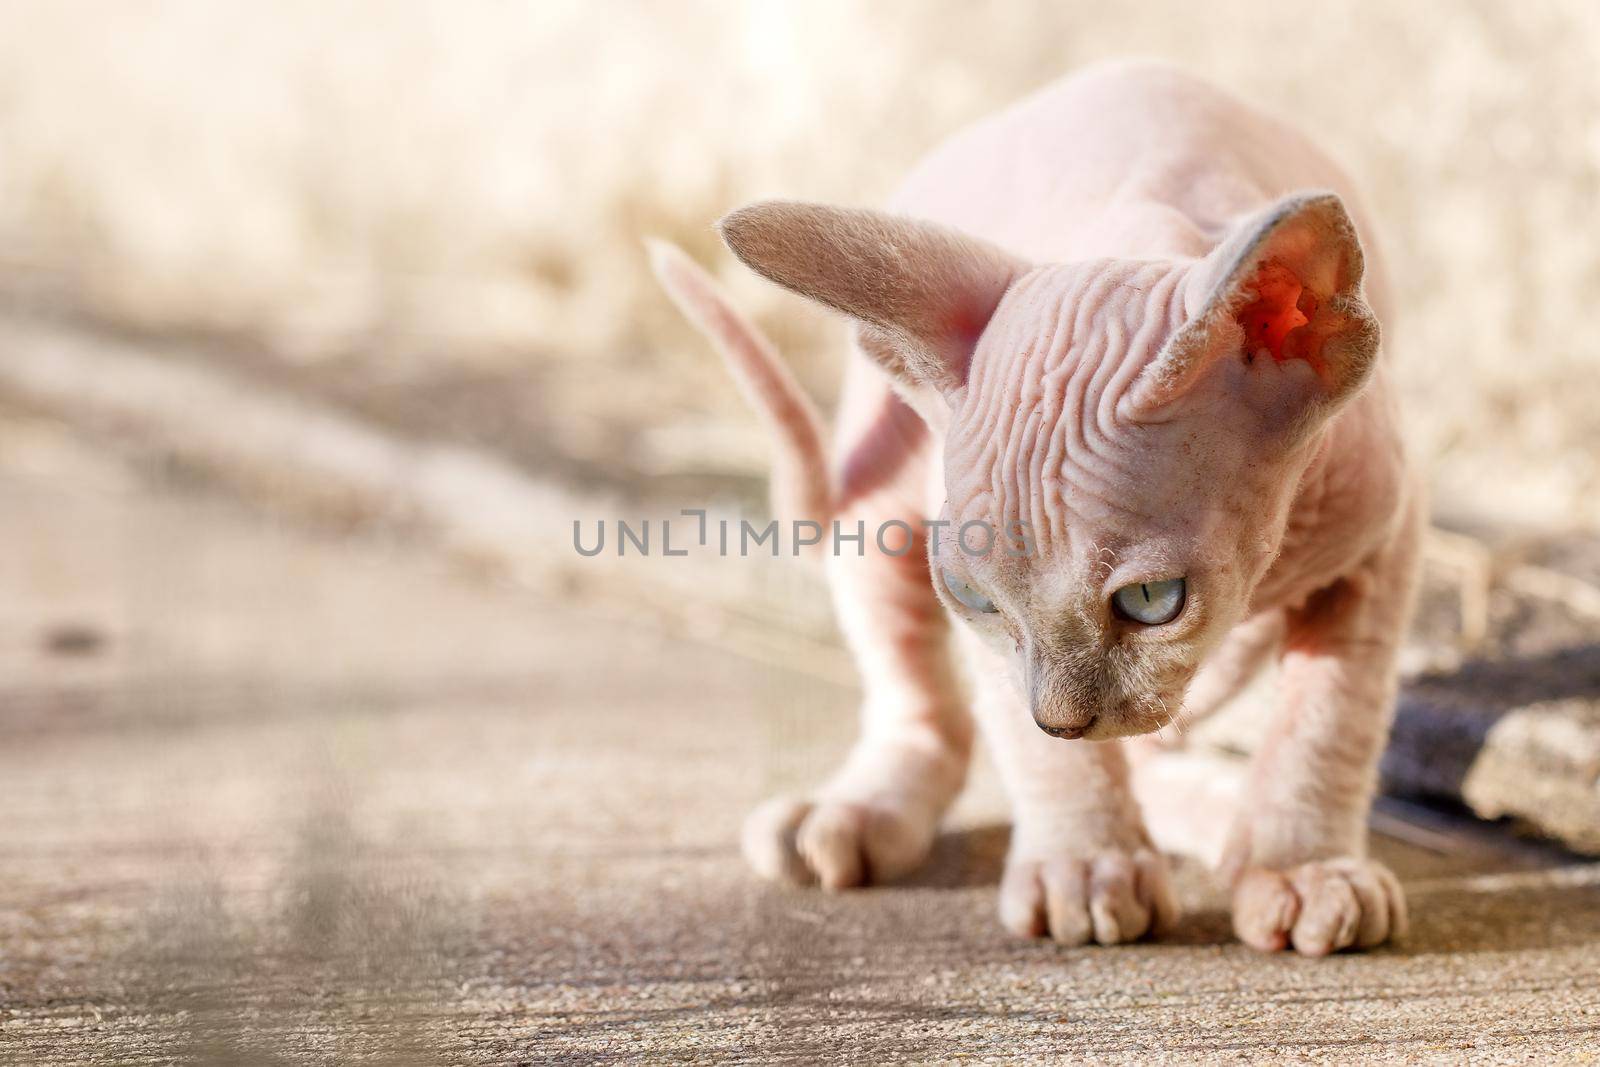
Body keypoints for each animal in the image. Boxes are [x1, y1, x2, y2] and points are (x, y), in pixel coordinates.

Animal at [649, 60, 1427, 959]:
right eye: (975, 597)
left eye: (1152, 600)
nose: (1060, 718)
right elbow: (1022, 736)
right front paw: (1084, 867)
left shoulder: (1383, 538)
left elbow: (1330, 717)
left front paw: (1303, 869)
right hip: (876, 515)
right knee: (922, 702)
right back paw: (847, 814)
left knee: (1161, 744)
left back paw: (1221, 814)